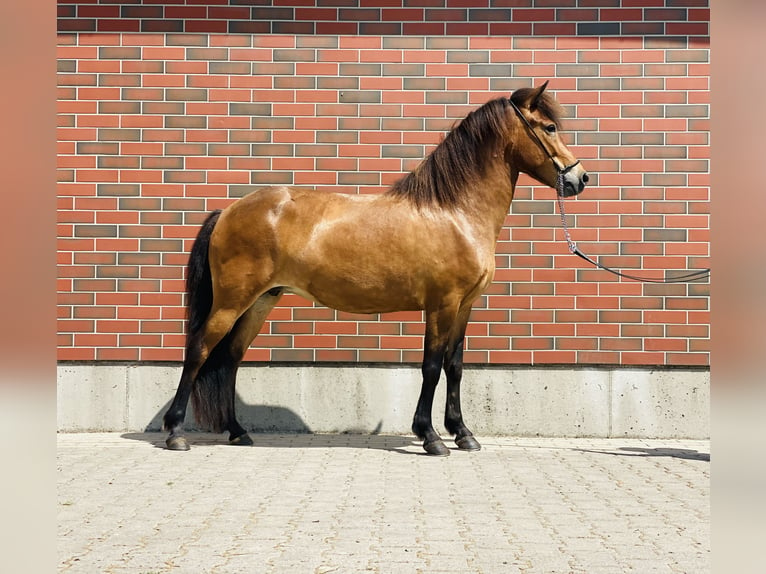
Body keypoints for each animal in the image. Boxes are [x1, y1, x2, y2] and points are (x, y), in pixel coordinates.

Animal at [165, 82, 592, 460]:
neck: (454, 212)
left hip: (260, 301)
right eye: (549, 127)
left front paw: (463, 434)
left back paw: (238, 432)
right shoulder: (442, 305)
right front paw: (430, 437)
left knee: (231, 357)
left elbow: (454, 367)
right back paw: (175, 433)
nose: (579, 178)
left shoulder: (465, 306)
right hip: (232, 301)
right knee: (199, 350)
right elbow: (431, 367)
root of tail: (228, 211)